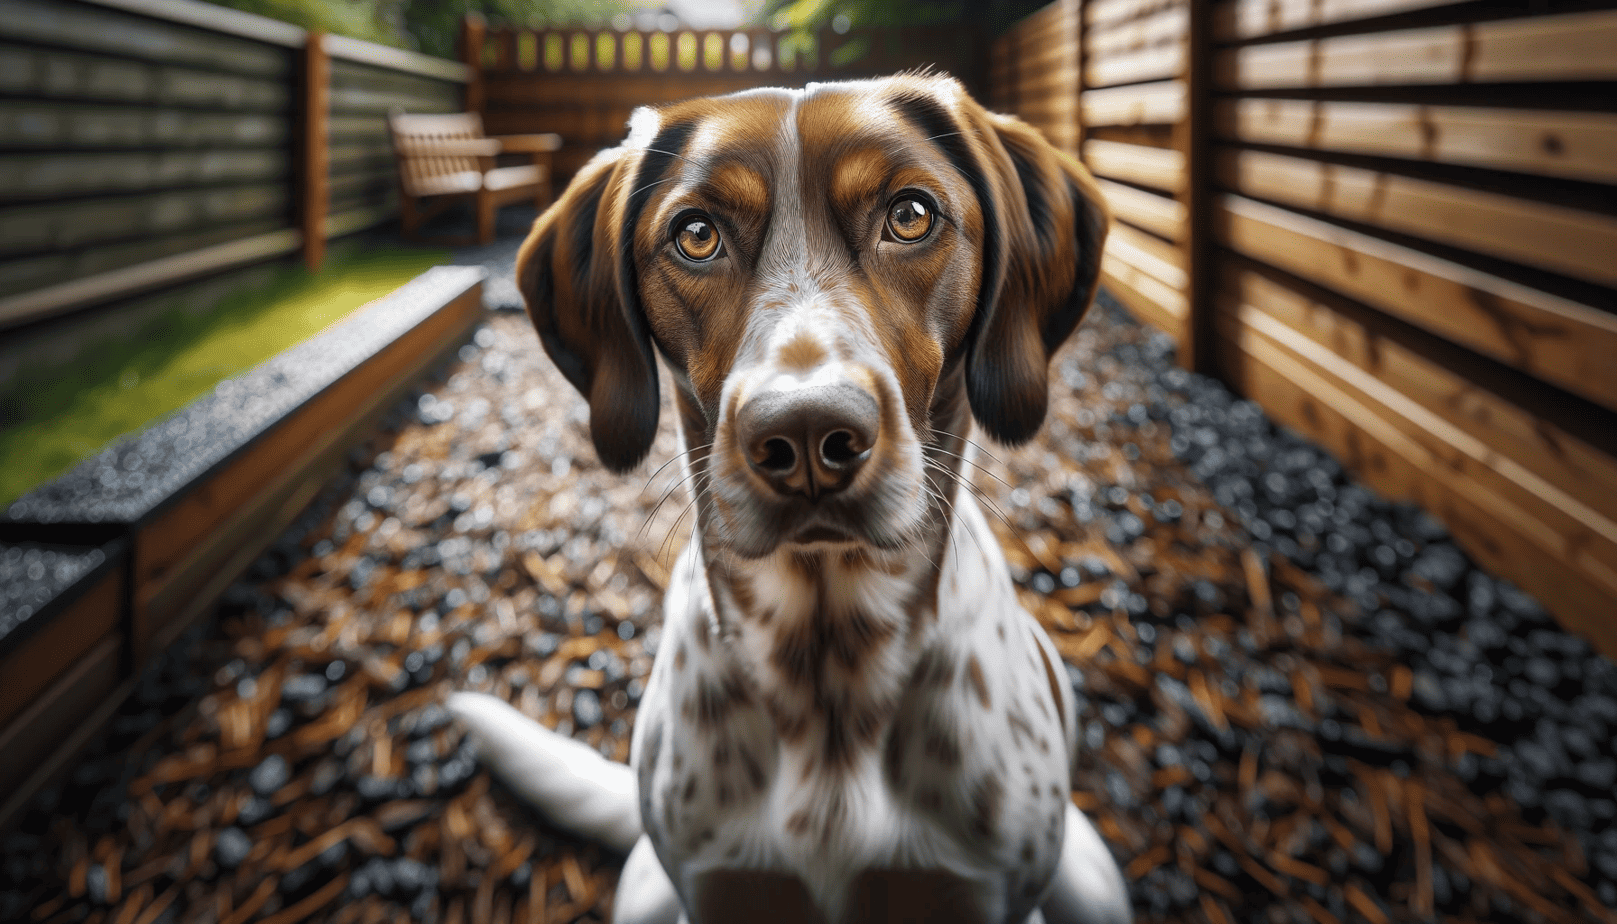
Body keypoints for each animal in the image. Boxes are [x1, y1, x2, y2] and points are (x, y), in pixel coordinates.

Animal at [452, 74, 1138, 924]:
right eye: (696, 234)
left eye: (910, 215)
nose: (808, 435)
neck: (827, 666)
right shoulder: (715, 891)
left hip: (1090, 881)